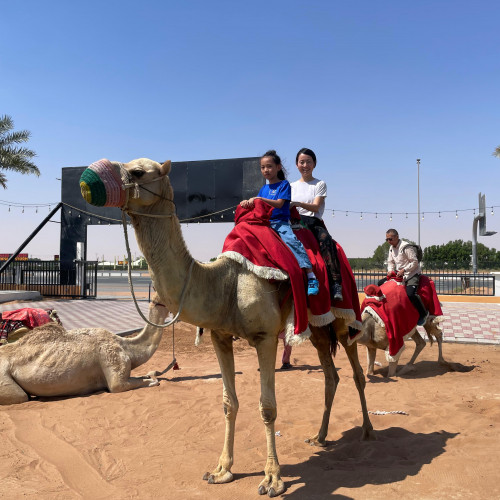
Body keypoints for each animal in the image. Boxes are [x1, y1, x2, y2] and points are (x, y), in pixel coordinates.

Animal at [0, 296, 169, 406]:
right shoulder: (114, 366)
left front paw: (150, 375)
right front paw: (153, 379)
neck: (127, 347)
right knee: (22, 397)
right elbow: (122, 385)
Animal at [79, 158, 376, 498]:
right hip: (315, 327)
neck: (224, 282)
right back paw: (320, 436)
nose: (88, 178)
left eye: (139, 172)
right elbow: (228, 403)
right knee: (331, 375)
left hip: (342, 319)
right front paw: (221, 470)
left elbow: (267, 407)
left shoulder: (265, 337)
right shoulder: (220, 336)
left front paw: (272, 479)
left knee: (356, 372)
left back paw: (368, 431)